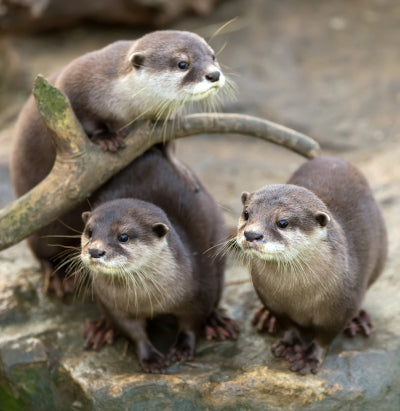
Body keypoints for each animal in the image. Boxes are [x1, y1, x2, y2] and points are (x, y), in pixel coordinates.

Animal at [10, 30, 228, 298]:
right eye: (182, 63)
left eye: (213, 56)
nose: (214, 74)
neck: (124, 104)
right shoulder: (75, 86)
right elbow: (88, 120)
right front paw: (107, 138)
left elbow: (168, 147)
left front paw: (182, 169)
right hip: (41, 226)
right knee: (43, 252)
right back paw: (59, 278)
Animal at [77, 148, 238, 374]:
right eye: (89, 232)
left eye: (123, 236)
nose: (95, 251)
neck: (150, 299)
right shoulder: (114, 305)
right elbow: (133, 331)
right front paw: (150, 357)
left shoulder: (200, 288)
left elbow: (192, 323)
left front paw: (182, 348)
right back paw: (102, 328)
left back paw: (217, 323)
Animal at [236, 156, 386, 374]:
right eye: (247, 214)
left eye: (282, 222)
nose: (251, 234)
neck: (297, 295)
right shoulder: (271, 300)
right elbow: (287, 325)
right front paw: (288, 343)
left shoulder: (340, 309)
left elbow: (324, 337)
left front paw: (310, 358)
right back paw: (265, 317)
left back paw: (359, 320)